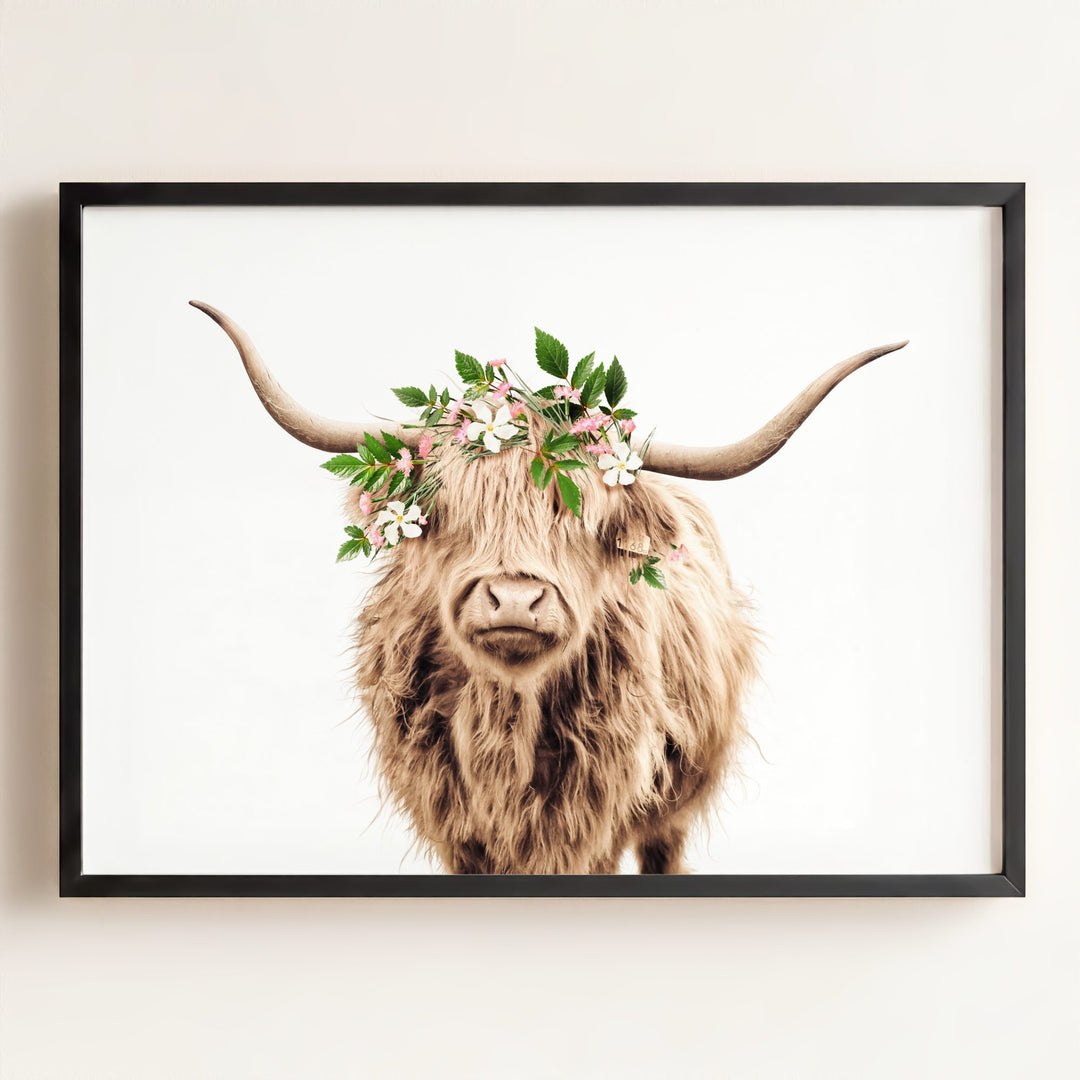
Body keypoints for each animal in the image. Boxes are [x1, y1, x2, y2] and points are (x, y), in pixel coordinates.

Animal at [191, 301, 906, 874]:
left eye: (582, 515)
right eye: (450, 510)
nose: (514, 599)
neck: (506, 723)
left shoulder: (594, 817)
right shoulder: (454, 824)